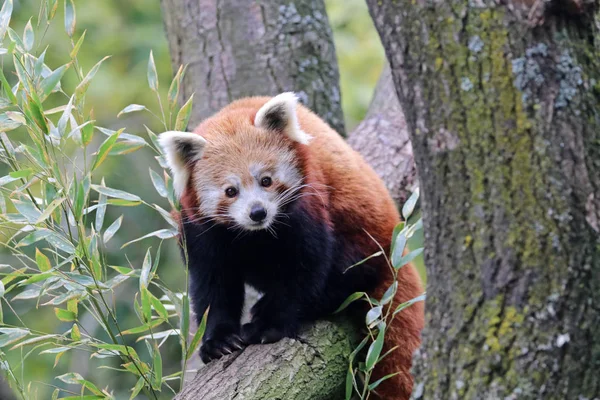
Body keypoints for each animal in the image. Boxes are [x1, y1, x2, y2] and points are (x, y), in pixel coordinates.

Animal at [157, 92, 424, 398]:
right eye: (230, 191)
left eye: (266, 180)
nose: (258, 212)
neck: (254, 234)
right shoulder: (201, 230)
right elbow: (212, 285)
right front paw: (219, 340)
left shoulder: (306, 203)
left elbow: (303, 269)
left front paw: (268, 325)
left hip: (364, 238)